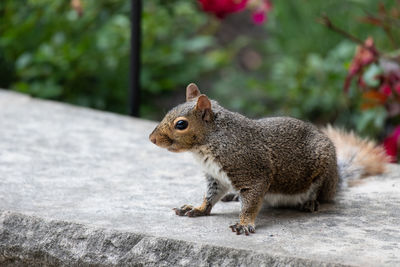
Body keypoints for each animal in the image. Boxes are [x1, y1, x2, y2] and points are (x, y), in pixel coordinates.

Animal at [148, 83, 390, 237]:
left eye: (181, 124)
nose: (152, 139)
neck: (209, 142)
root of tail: (336, 179)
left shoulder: (251, 171)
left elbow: (251, 201)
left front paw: (244, 223)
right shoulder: (216, 177)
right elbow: (210, 196)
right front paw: (198, 208)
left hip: (321, 171)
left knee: (319, 191)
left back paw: (311, 202)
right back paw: (233, 196)